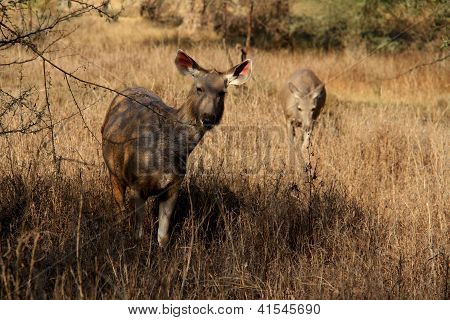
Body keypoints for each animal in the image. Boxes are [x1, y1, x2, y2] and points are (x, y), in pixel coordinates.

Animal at [100, 50, 251, 248]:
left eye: (222, 92)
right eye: (199, 88)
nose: (208, 118)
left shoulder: (174, 185)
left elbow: (163, 236)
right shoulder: (137, 183)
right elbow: (138, 234)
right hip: (114, 171)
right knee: (119, 209)